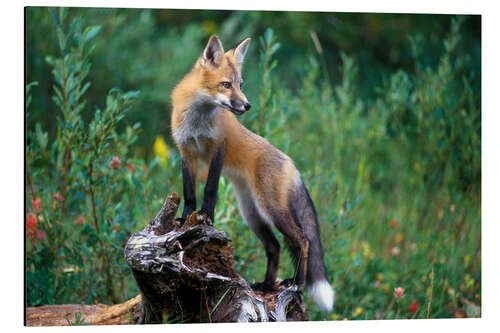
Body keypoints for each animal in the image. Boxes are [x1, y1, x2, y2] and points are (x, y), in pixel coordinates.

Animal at [170, 35, 334, 310]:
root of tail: (291, 164)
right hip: (252, 214)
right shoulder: (186, 152)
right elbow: (189, 192)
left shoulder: (218, 147)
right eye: (226, 85)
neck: (197, 120)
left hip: (271, 210)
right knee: (275, 246)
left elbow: (210, 188)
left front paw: (207, 217)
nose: (247, 105)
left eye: (240, 84)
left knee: (303, 240)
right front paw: (184, 220)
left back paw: (297, 283)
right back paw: (267, 286)